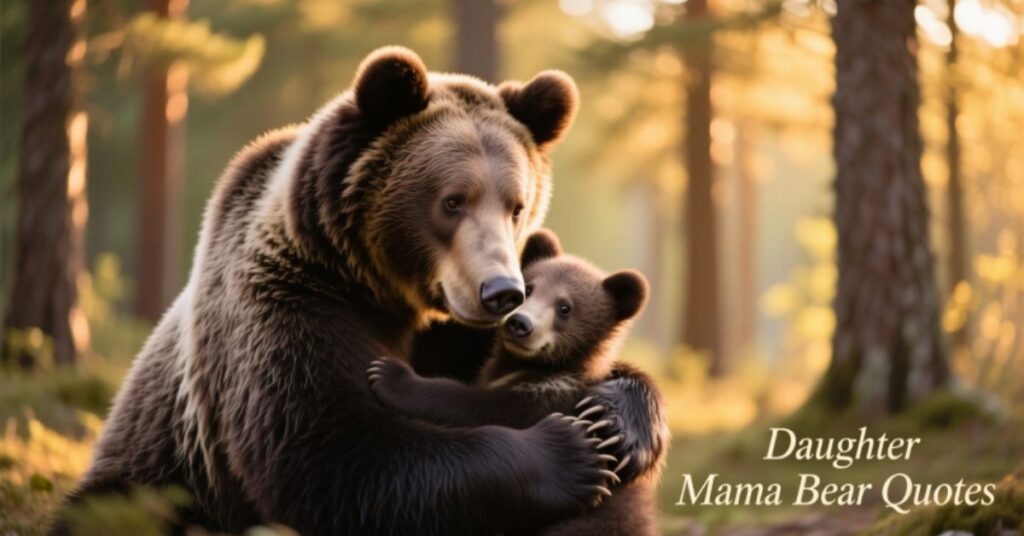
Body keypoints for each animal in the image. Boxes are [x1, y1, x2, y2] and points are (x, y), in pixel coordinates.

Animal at [367, 229, 666, 535]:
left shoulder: (548, 397)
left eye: (565, 307)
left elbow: (476, 406)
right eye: (529, 288)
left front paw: (390, 375)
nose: (520, 323)